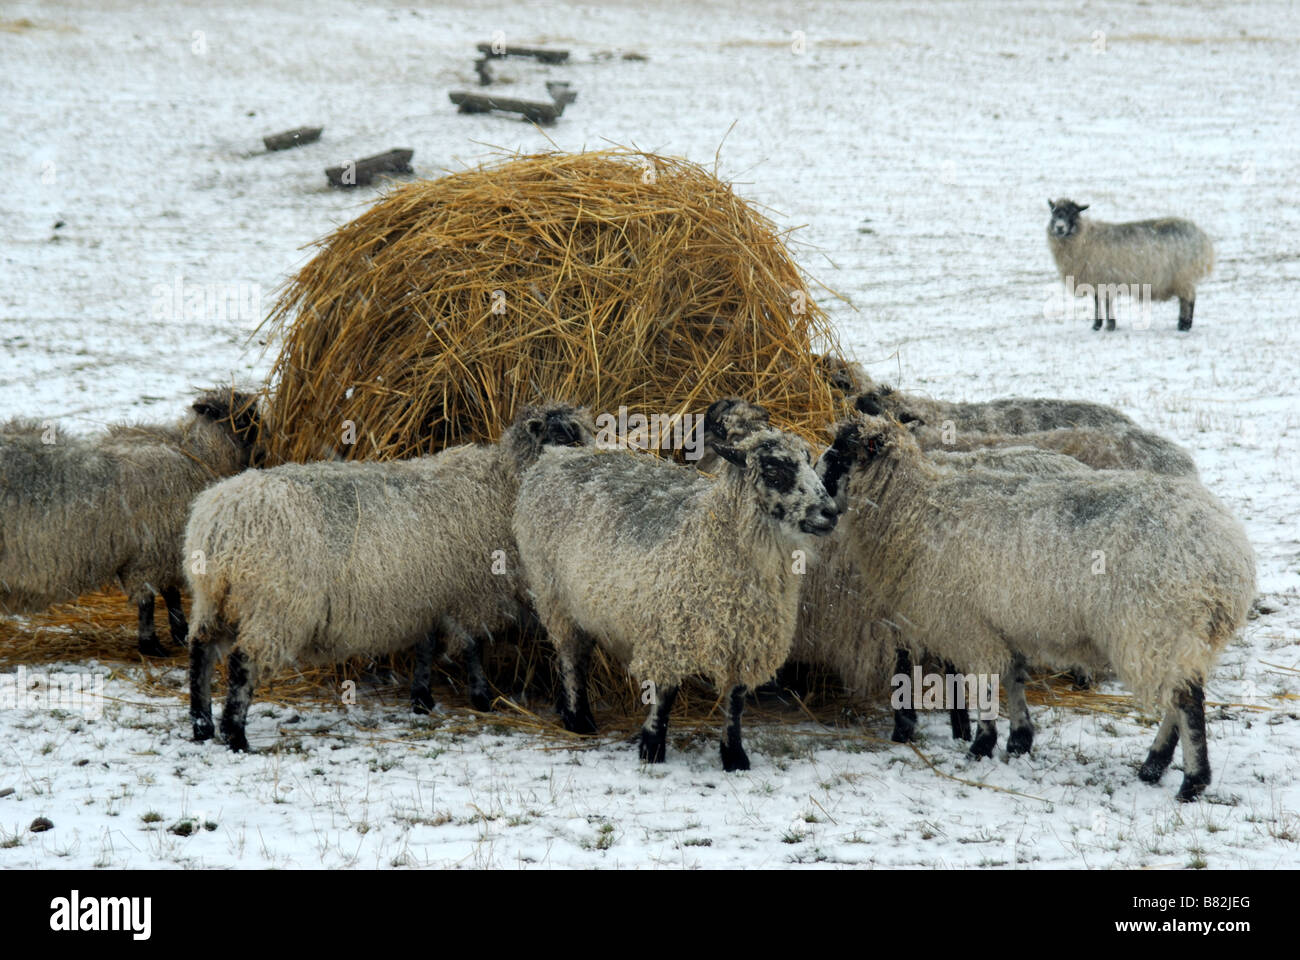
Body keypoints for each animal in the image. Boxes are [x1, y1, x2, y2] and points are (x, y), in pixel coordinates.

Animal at [0, 391, 262, 657]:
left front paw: (180, 633)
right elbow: (149, 599)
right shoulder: (150, 553)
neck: (196, 454)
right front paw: (151, 644)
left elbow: (171, 594)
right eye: (243, 419)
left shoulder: (166, 550)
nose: (262, 455)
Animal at [184, 402, 595, 751]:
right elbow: (473, 646)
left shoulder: (432, 593)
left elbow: (427, 645)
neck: (504, 482)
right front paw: (482, 698)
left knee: (200, 651)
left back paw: (202, 726)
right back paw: (236, 736)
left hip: (214, 599)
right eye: (563, 439)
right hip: (274, 604)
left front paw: (422, 699)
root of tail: (221, 522)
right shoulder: (471, 592)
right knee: (241, 664)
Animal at [513, 400, 839, 770]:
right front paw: (652, 748)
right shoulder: (667, 633)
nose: (831, 512)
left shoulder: (744, 640)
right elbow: (665, 696)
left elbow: (735, 701)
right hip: (554, 594)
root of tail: (556, 455)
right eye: (774, 473)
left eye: (810, 463)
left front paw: (734, 756)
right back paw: (579, 720)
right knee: (572, 658)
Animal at [816, 411, 1255, 801]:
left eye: (838, 455)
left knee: (1186, 703)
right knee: (1180, 700)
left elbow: (984, 685)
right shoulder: (1002, 622)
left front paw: (981, 745)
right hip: (1183, 636)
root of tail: (1228, 562)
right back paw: (1154, 766)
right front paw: (1019, 739)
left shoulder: (970, 626)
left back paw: (1190, 782)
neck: (916, 509)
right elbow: (1013, 677)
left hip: (1158, 625)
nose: (817, 505)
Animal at [1047, 198, 1214, 331]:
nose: (1059, 227)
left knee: (1189, 300)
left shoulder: (1104, 277)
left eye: (1072, 213)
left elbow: (1105, 302)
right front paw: (1097, 325)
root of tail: (1202, 237)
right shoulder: (1095, 279)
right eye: (1054, 213)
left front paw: (1109, 325)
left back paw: (1184, 325)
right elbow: (1097, 301)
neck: (1084, 237)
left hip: (1183, 275)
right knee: (1185, 299)